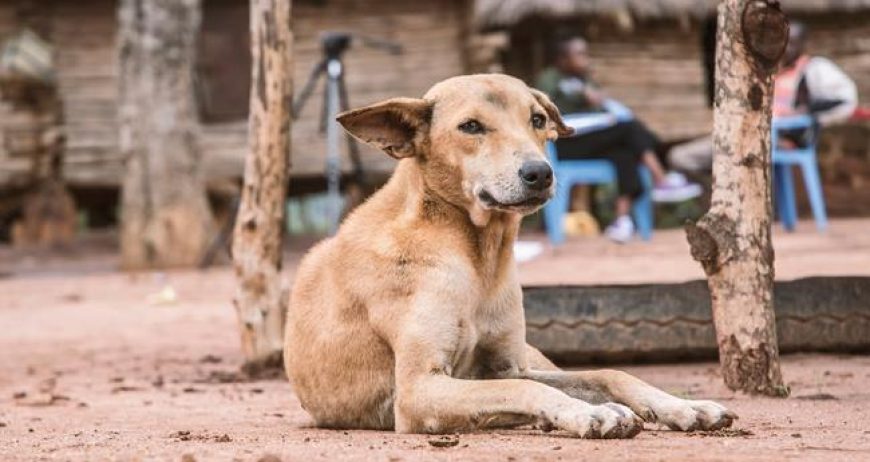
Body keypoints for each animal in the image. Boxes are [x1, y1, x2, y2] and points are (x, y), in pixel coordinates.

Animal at [284, 74, 736, 438]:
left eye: (536, 119)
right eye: (470, 126)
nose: (540, 173)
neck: (476, 257)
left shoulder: (507, 364)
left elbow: (608, 373)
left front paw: (679, 406)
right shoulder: (417, 390)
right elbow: (522, 388)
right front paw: (586, 413)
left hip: (533, 354)